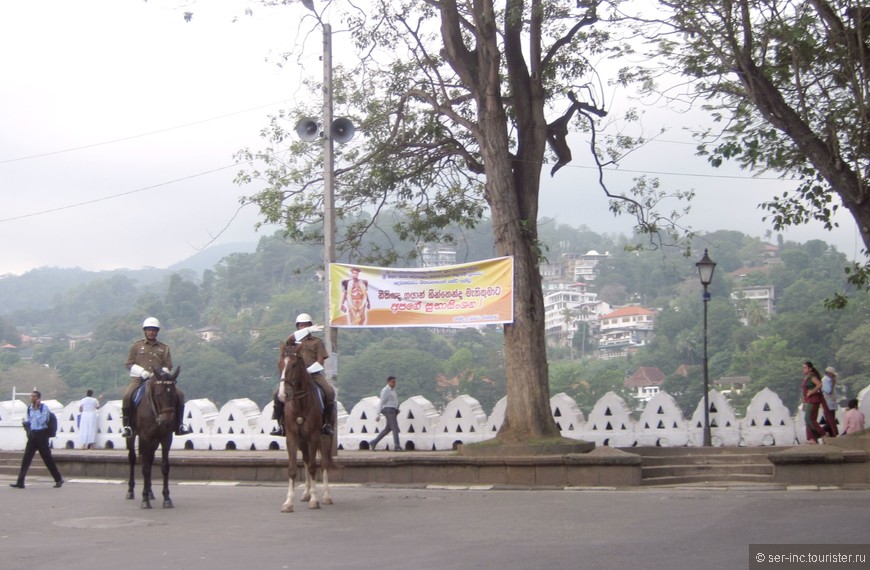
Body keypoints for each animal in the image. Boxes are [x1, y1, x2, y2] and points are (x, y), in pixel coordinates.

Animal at [126, 366, 181, 508]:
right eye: (158, 394)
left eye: (174, 395)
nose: (167, 422)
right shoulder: (145, 437)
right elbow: (145, 468)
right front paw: (145, 500)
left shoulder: (166, 438)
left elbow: (164, 467)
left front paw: (166, 498)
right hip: (132, 435)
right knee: (132, 458)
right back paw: (130, 491)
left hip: (154, 441)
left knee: (150, 460)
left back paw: (150, 492)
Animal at [282, 338, 336, 510]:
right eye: (280, 364)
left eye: (294, 365)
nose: (284, 393)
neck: (300, 403)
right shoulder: (292, 437)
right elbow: (293, 469)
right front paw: (288, 502)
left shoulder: (313, 436)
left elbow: (314, 466)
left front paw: (315, 499)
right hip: (302, 440)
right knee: (306, 460)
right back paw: (306, 493)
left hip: (325, 436)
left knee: (324, 462)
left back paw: (326, 496)